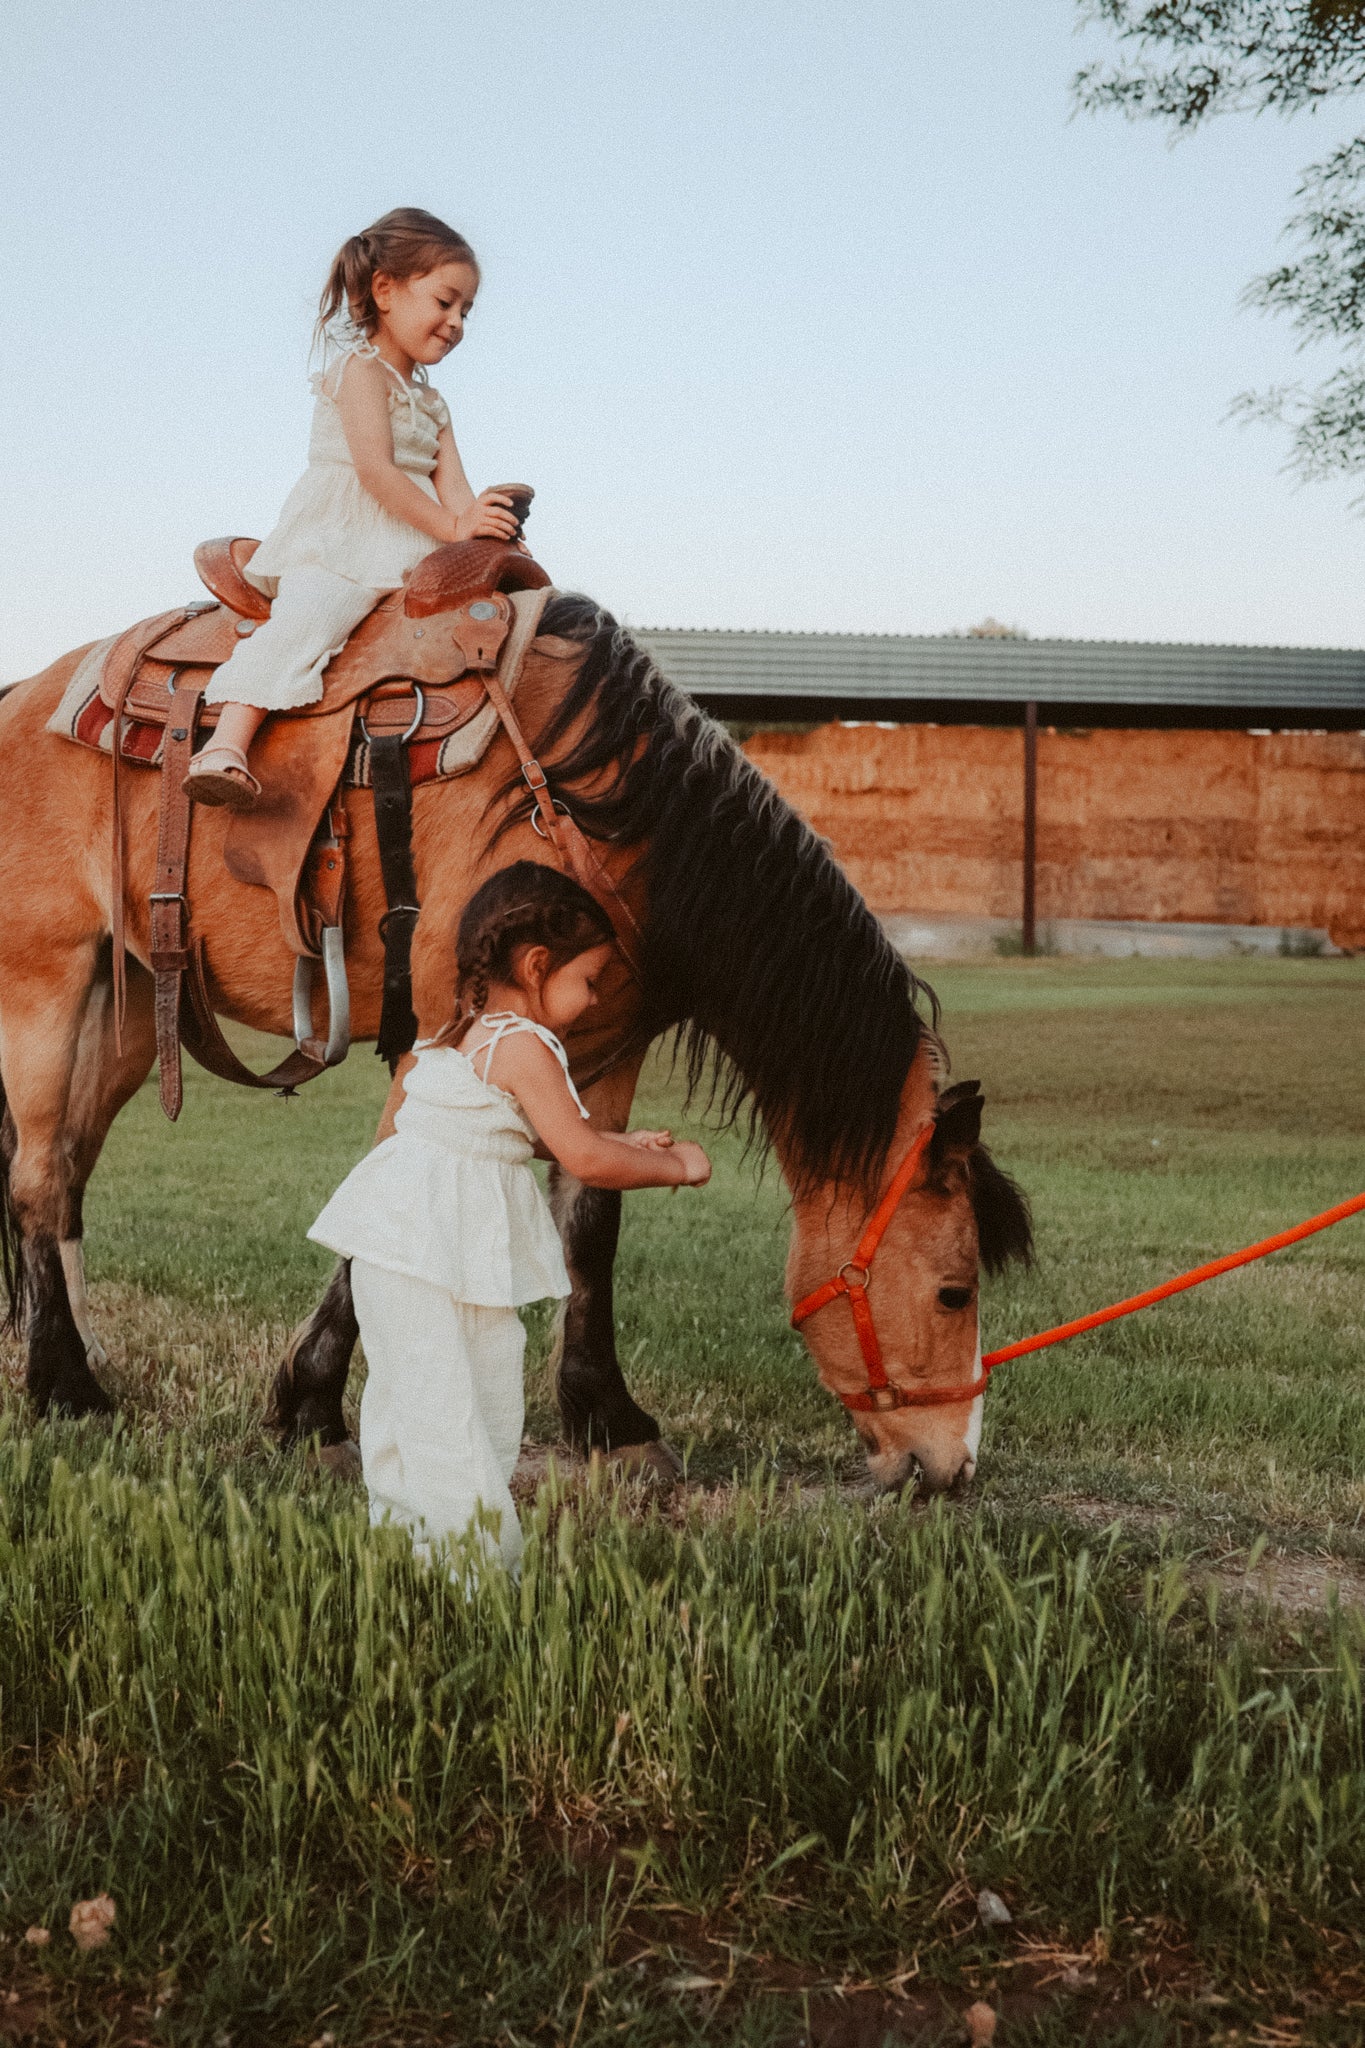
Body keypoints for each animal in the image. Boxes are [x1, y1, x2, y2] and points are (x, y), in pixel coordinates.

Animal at [0, 593, 1031, 1490]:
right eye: (954, 1291)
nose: (952, 1468)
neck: (608, 823)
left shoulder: (602, 1053)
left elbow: (591, 1222)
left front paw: (609, 1419)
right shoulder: (438, 1042)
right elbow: (388, 1205)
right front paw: (312, 1407)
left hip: (134, 1009)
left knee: (69, 1171)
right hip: (45, 983)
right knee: (39, 1177)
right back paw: (65, 1383)